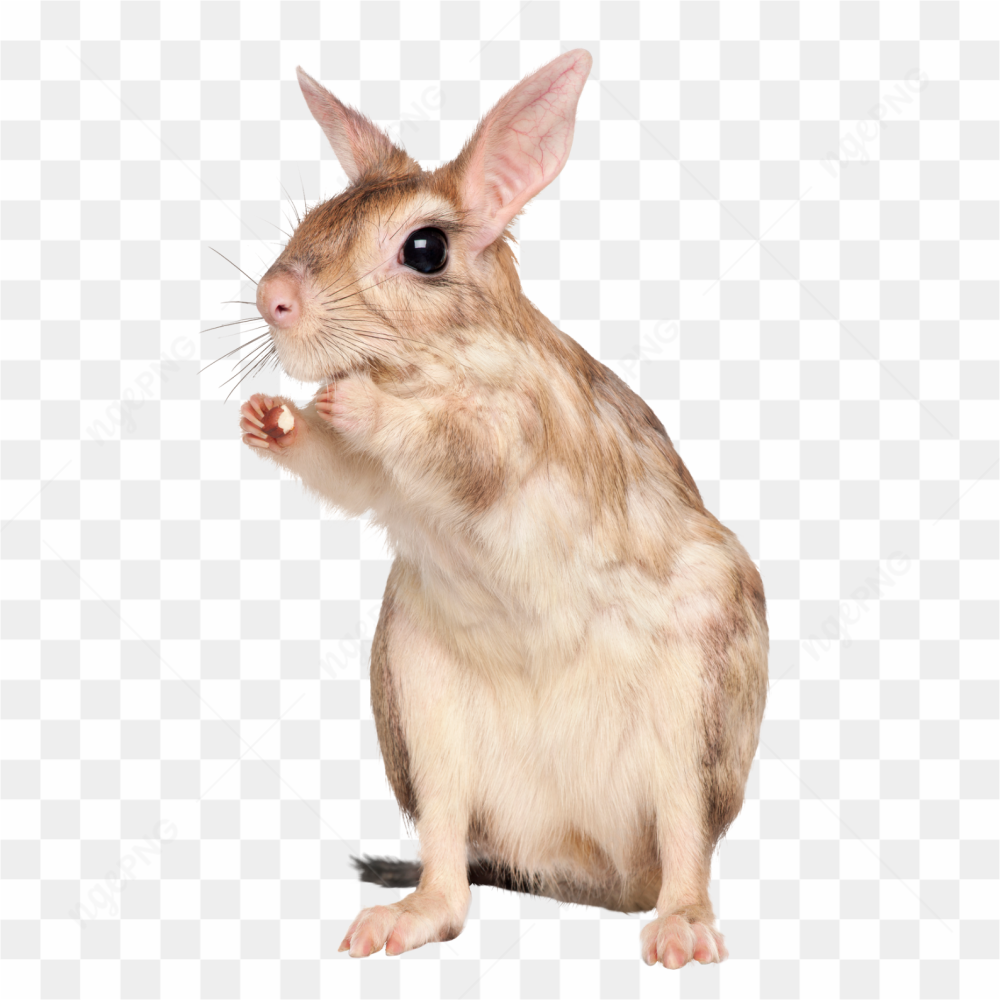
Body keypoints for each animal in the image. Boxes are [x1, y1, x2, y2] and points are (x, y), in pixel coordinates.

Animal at [236, 49, 768, 970]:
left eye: (425, 249)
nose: (273, 299)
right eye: (317, 216)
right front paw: (273, 417)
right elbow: (342, 471)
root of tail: (593, 874)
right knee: (451, 879)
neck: (419, 363)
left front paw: (355, 402)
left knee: (686, 845)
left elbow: (453, 438)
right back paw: (404, 918)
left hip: (692, 725)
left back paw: (682, 930)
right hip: (423, 711)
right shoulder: (378, 483)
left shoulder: (518, 424)